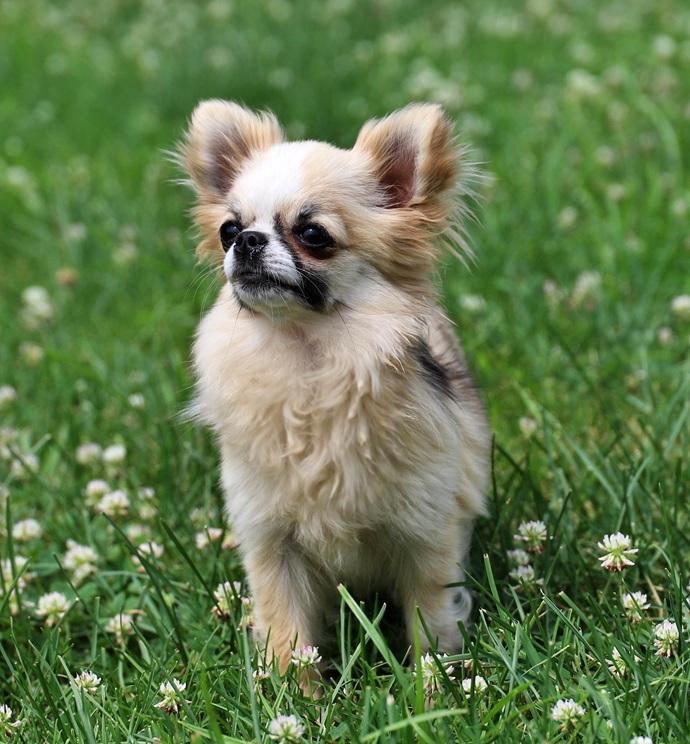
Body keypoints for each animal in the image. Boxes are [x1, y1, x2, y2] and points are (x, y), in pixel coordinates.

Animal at [179, 101, 490, 674]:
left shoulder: (424, 537)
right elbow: (288, 637)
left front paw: (433, 687)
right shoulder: (270, 542)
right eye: (229, 229)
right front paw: (293, 693)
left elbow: (431, 627)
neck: (307, 357)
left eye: (313, 235)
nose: (247, 241)